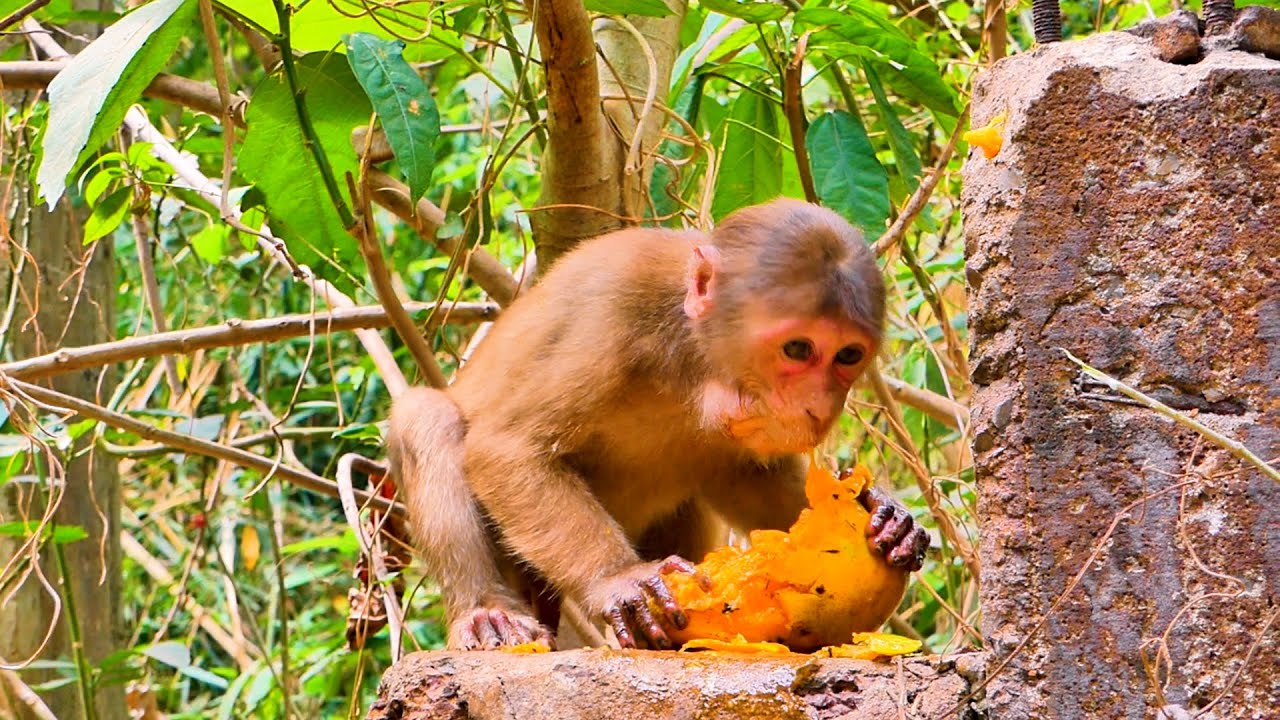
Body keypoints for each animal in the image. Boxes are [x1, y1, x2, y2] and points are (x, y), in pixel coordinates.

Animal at [387, 198, 930, 651]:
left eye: (848, 356)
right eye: (798, 349)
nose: (818, 407)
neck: (692, 358)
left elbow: (748, 477)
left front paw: (888, 519)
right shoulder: (611, 306)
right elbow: (505, 447)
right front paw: (619, 578)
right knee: (427, 418)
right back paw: (486, 612)